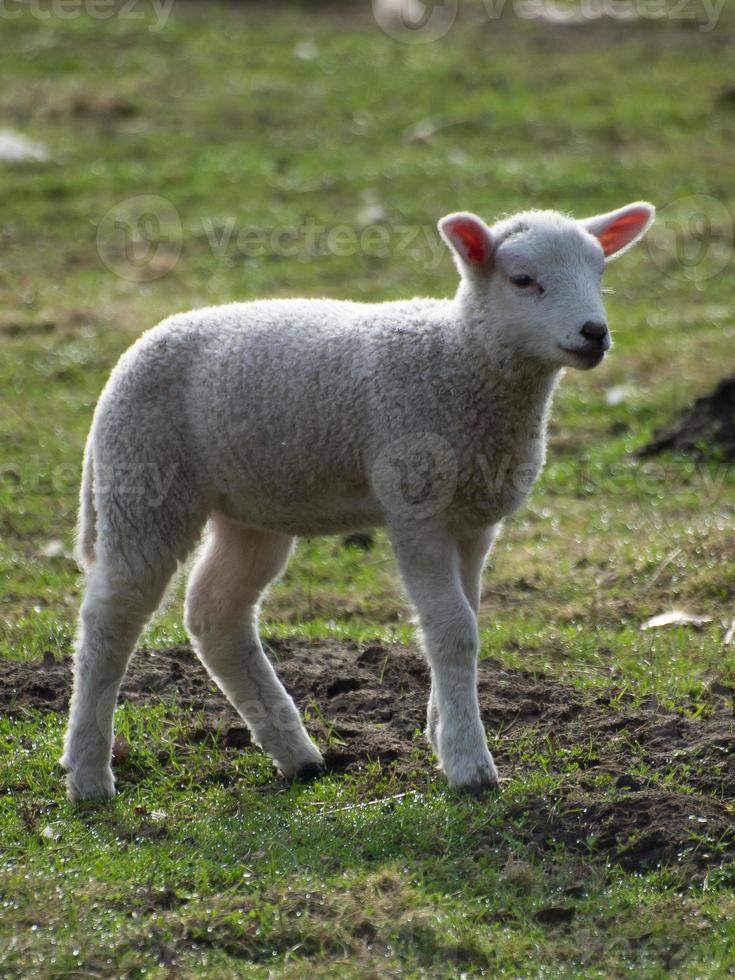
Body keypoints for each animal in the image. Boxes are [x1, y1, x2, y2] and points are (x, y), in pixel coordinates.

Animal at [61, 197, 656, 796]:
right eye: (523, 280)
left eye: (600, 273)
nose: (594, 332)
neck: (461, 357)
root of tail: (132, 353)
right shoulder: (416, 504)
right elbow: (453, 631)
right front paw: (469, 764)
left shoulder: (474, 518)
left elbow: (465, 620)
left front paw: (441, 730)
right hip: (143, 480)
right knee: (110, 618)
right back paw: (89, 775)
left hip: (252, 505)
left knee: (215, 613)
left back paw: (296, 753)